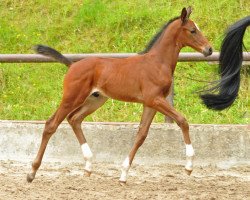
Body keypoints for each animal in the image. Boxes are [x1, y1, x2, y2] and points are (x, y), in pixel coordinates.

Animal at [27, 7, 212, 184]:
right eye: (193, 30)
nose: (209, 49)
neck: (157, 63)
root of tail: (72, 65)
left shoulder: (150, 104)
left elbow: (141, 135)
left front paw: (123, 174)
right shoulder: (155, 99)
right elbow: (182, 121)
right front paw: (189, 167)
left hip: (95, 100)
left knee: (74, 119)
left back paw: (88, 166)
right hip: (72, 98)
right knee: (51, 124)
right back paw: (32, 172)